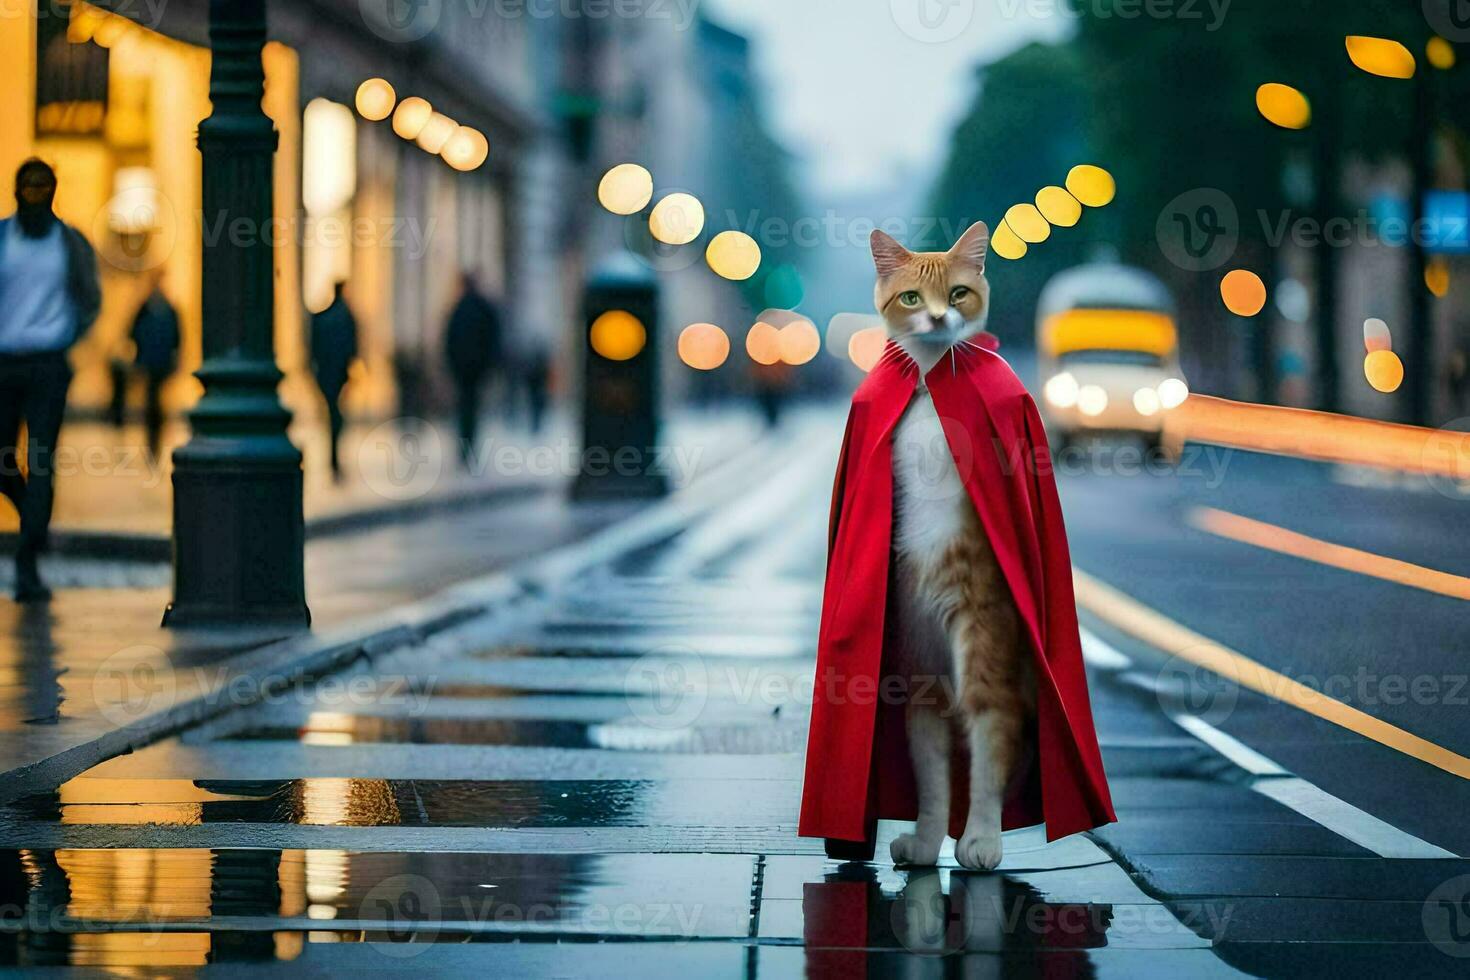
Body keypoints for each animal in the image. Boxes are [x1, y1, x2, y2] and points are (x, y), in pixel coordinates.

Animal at [870, 224, 1034, 875]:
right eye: (913, 298)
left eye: (960, 292)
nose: (940, 317)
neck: (933, 380)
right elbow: (933, 763)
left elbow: (991, 728)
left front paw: (980, 840)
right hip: (915, 651)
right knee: (931, 743)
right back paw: (926, 840)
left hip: (980, 627)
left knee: (994, 717)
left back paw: (983, 838)